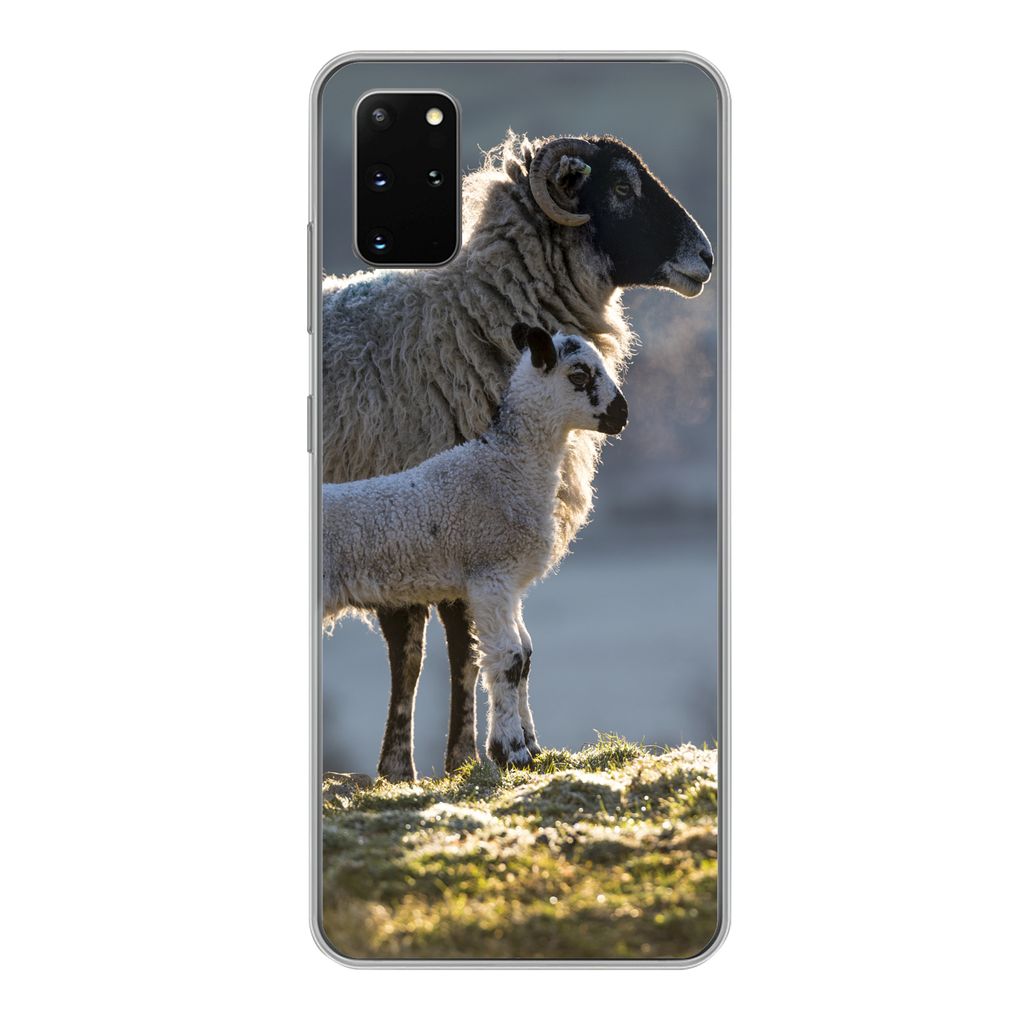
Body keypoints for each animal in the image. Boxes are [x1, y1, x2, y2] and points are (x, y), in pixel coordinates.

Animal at [323, 324, 629, 773]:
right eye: (579, 375)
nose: (622, 415)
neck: (506, 466)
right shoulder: (489, 574)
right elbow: (507, 658)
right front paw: (510, 752)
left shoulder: (509, 584)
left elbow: (526, 655)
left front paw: (532, 748)